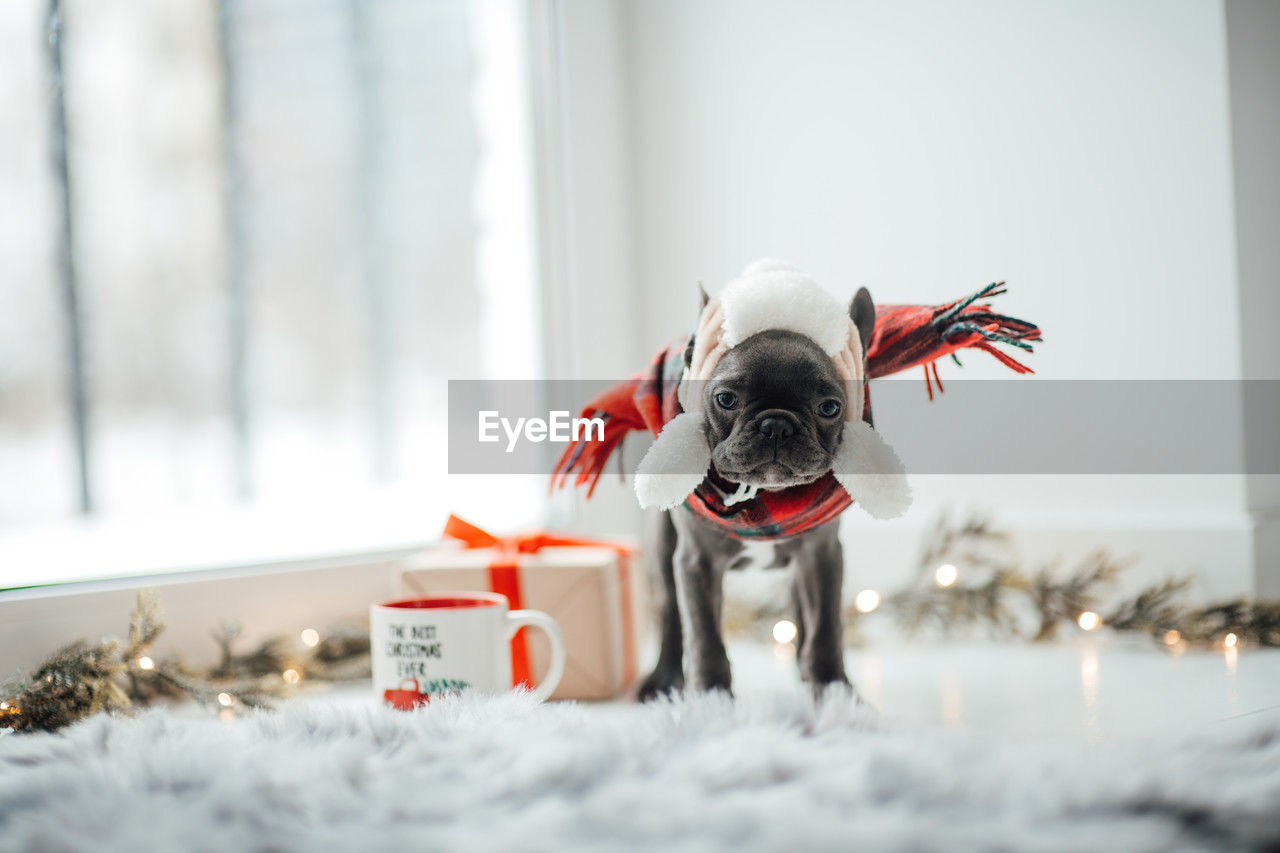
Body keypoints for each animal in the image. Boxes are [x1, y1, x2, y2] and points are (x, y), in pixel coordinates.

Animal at [634, 285, 875, 696]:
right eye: (726, 399)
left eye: (829, 407)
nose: (777, 425)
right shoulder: (696, 561)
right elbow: (704, 638)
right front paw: (711, 699)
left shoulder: (822, 555)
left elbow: (826, 630)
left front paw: (834, 693)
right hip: (663, 552)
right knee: (670, 615)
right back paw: (663, 678)